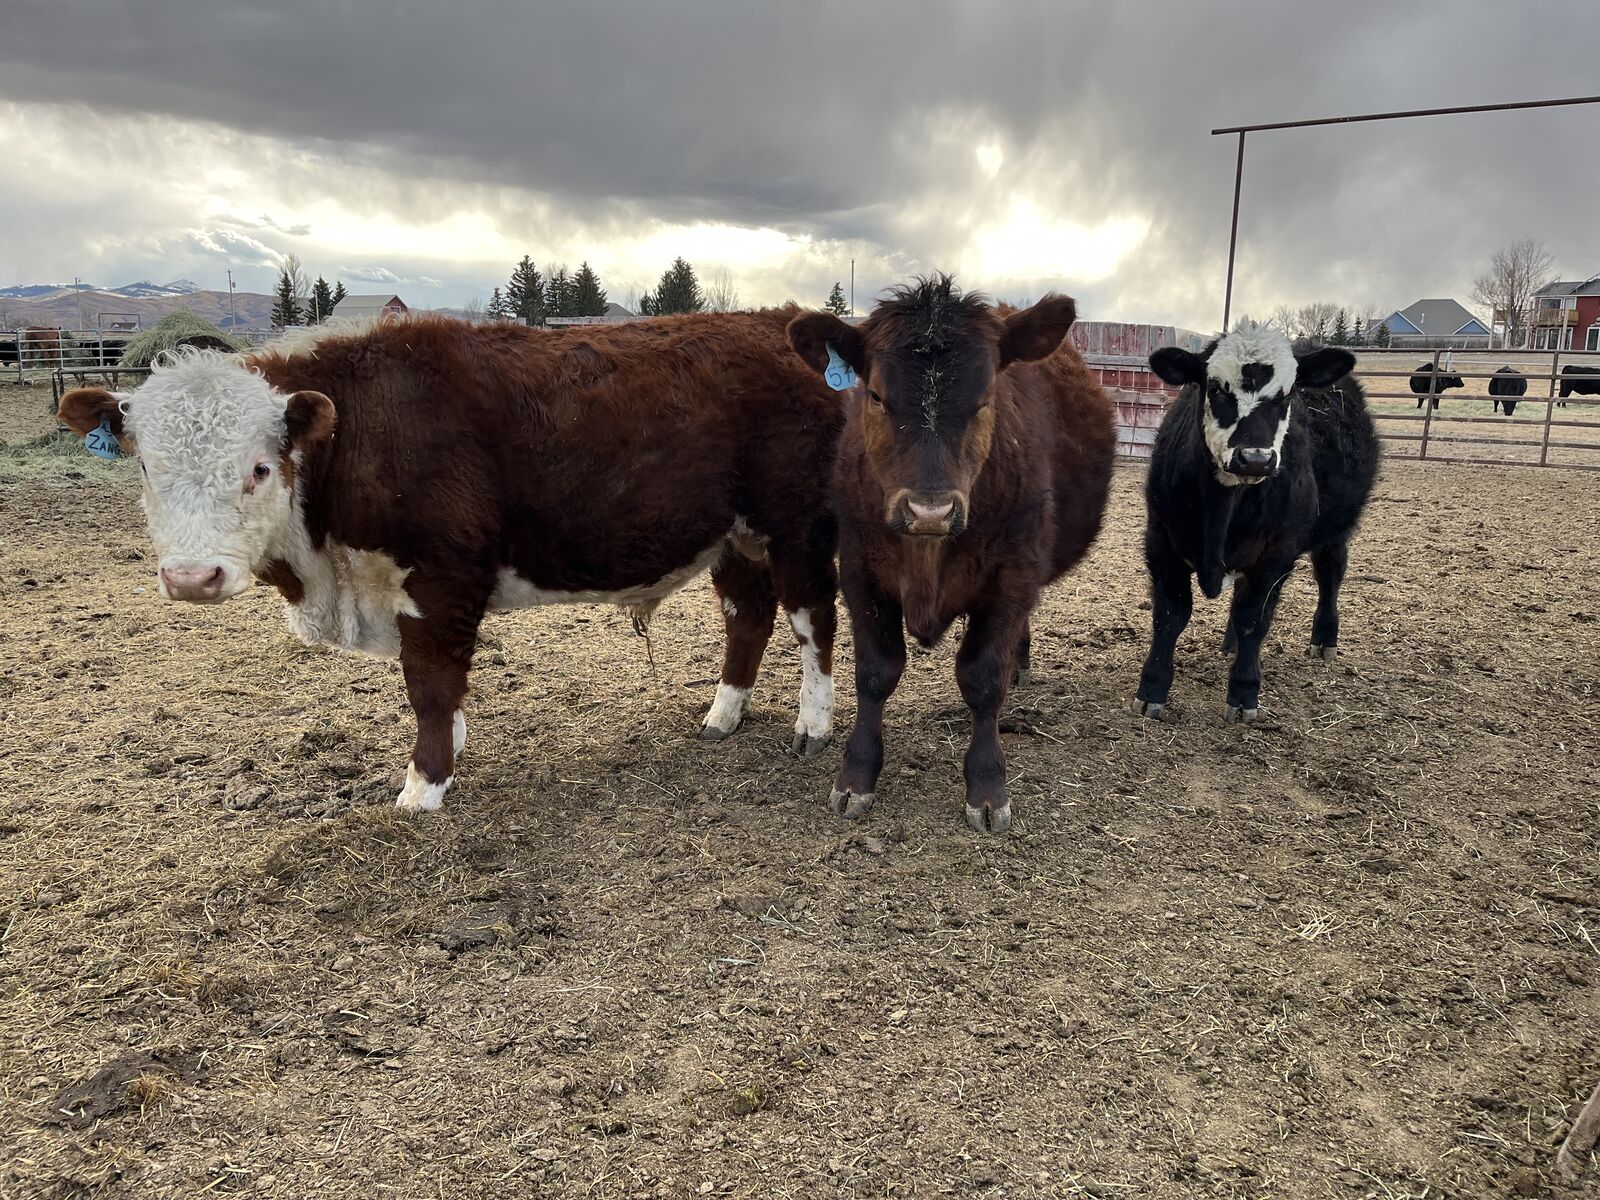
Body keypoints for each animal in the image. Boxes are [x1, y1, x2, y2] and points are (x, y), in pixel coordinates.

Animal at [56, 312, 845, 814]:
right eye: (145, 466)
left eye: (258, 467)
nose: (193, 579)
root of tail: (776, 321)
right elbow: (437, 693)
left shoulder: (441, 578)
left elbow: (431, 683)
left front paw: (423, 787)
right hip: (736, 537)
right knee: (749, 616)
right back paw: (723, 713)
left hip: (800, 526)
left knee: (813, 621)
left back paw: (814, 725)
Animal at [786, 276, 1115, 833]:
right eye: (876, 395)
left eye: (985, 399)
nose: (930, 511)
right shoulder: (860, 572)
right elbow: (875, 673)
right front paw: (856, 776)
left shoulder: (1013, 576)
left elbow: (983, 679)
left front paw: (986, 786)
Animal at [1135, 322, 1378, 725]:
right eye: (1216, 388)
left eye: (1288, 393)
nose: (1255, 459)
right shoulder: (1161, 541)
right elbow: (1170, 616)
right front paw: (1151, 689)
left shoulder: (1275, 556)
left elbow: (1254, 619)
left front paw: (1244, 693)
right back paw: (1229, 643)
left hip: (1336, 530)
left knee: (1330, 576)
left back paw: (1324, 638)